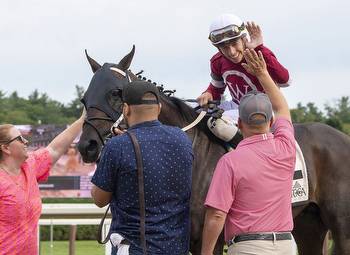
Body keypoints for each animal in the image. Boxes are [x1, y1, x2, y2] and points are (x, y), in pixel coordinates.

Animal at [78, 46, 350, 254]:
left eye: (116, 92)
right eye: (84, 98)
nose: (87, 146)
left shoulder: (209, 238)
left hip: (341, 226)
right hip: (308, 223)